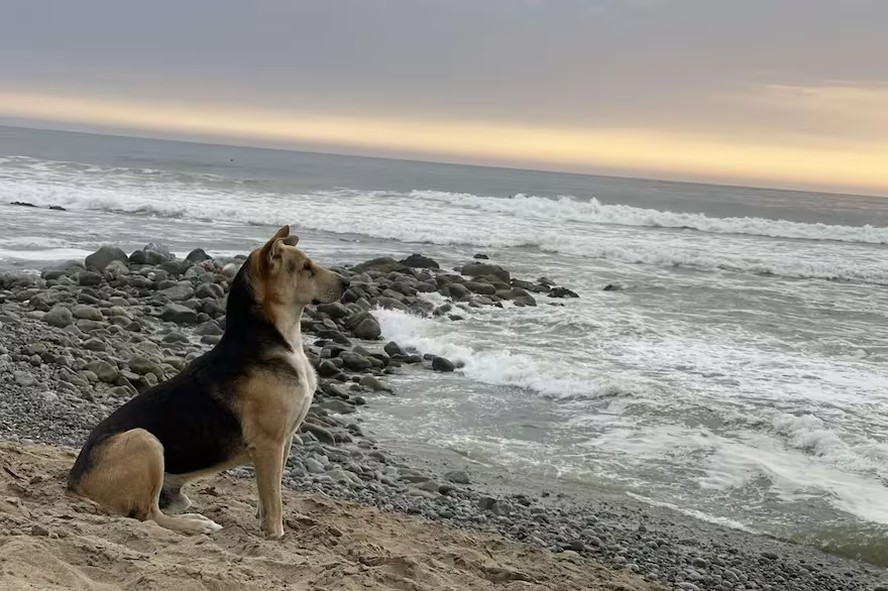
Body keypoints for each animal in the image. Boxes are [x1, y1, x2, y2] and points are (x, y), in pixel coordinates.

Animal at [66, 224, 348, 540]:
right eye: (306, 268)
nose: (348, 283)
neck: (274, 338)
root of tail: (75, 480)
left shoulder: (283, 441)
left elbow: (268, 492)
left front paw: (264, 520)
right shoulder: (270, 444)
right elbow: (274, 498)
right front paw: (275, 533)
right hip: (145, 440)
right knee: (149, 515)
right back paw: (197, 524)